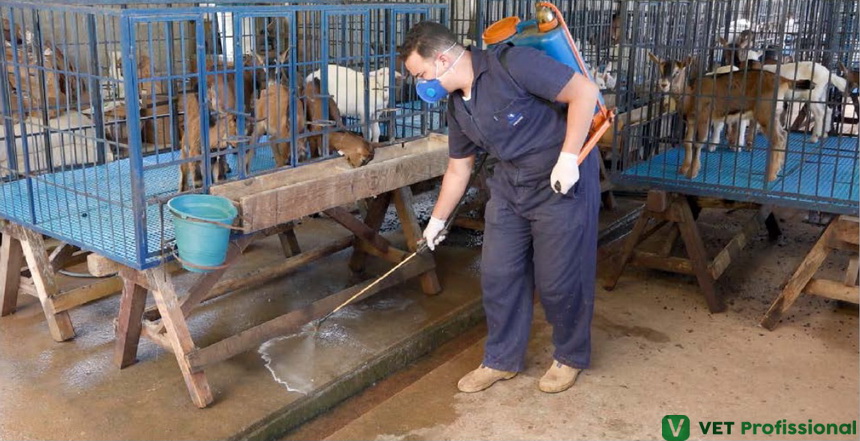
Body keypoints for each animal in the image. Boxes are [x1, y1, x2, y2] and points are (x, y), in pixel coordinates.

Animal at [652, 52, 812, 182]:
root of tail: (784, 80)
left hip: (766, 113)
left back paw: (770, 176)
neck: (691, 94)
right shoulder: (691, 121)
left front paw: (692, 173)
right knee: (783, 135)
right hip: (774, 113)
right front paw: (683, 168)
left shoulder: (704, 118)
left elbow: (698, 143)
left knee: (777, 139)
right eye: (660, 69)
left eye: (676, 72)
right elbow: (687, 142)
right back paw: (776, 170)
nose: (663, 84)